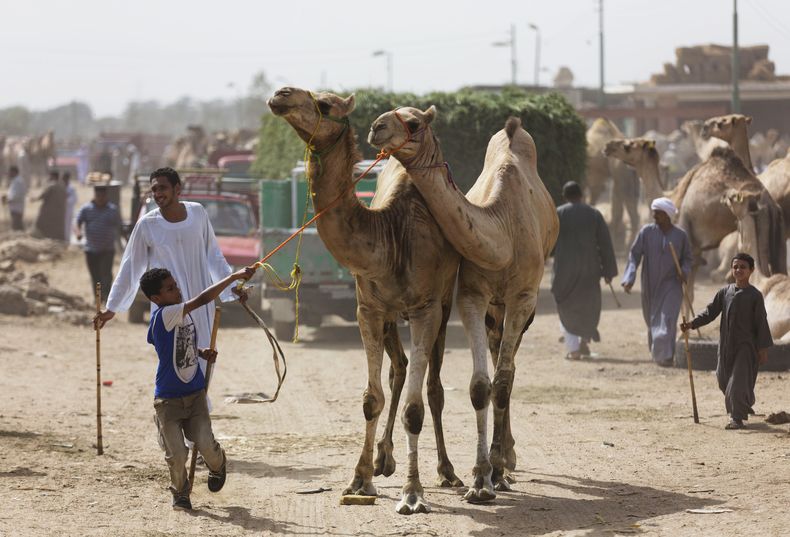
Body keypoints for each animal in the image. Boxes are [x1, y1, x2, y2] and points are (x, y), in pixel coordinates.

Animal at [268, 87, 463, 515]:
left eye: (325, 104)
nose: (280, 94)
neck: (388, 236)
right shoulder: (369, 310)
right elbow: (372, 398)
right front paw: (360, 479)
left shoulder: (425, 310)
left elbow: (414, 409)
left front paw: (413, 493)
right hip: (391, 316)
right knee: (399, 369)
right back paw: (383, 458)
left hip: (444, 301)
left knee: (434, 389)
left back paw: (448, 471)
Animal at [368, 107, 558, 503]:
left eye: (414, 123)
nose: (376, 127)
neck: (502, 235)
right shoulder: (471, 294)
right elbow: (480, 387)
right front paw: (481, 476)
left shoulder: (523, 297)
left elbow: (501, 382)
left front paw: (494, 470)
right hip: (491, 311)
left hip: (522, 307)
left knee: (509, 369)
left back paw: (508, 458)